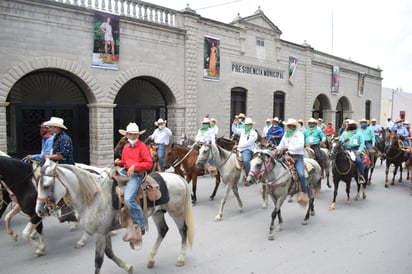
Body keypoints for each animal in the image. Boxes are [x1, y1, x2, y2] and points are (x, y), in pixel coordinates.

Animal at [35, 159, 195, 272]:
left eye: (46, 186)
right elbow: (109, 253)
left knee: (183, 231)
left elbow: (98, 261)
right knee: (163, 230)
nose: (39, 211)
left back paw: (181, 258)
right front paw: (128, 267)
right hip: (158, 213)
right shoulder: (104, 232)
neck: (94, 197)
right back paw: (151, 259)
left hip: (177, 212)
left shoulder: (99, 234)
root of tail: (178, 178)